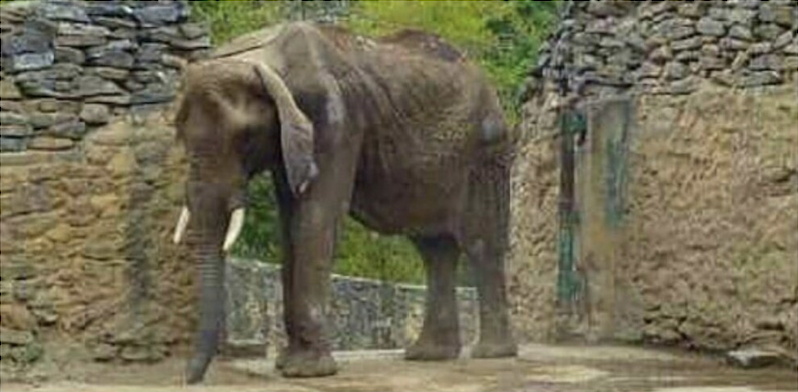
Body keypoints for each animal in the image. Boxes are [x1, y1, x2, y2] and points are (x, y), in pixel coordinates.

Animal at [171, 20, 516, 382]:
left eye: (246, 137)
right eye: (179, 133)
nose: (190, 379)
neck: (264, 55)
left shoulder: (335, 121)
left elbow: (315, 219)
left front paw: (306, 371)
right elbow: (290, 224)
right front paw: (287, 364)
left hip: (485, 154)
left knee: (480, 243)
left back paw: (491, 353)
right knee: (433, 248)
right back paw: (429, 355)